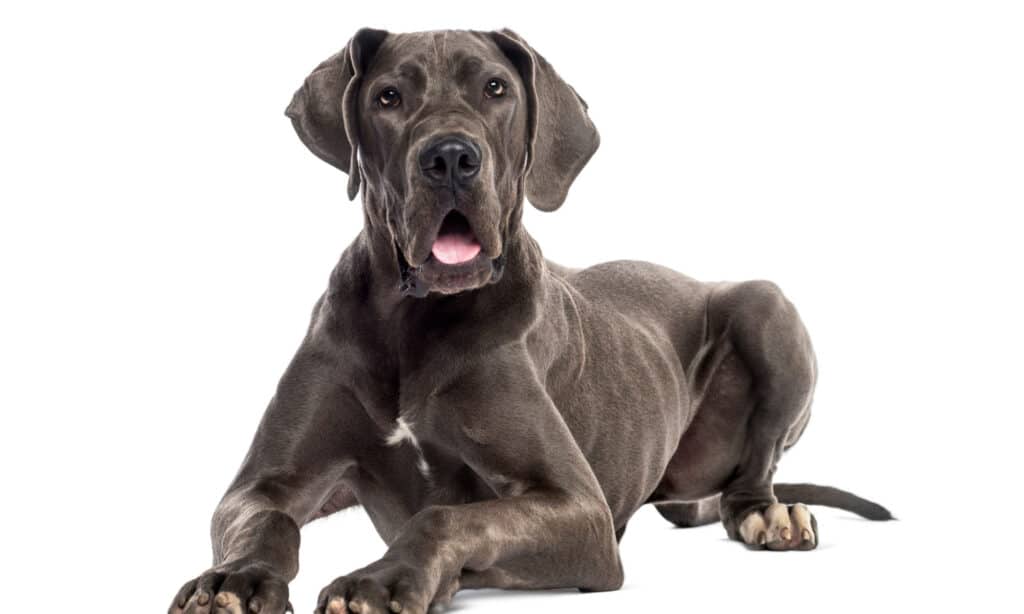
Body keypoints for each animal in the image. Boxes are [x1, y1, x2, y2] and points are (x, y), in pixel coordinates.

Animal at [165, 28, 888, 614]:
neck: (413, 319)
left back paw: (771, 514)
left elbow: (448, 518)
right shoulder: (266, 483)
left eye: (496, 88)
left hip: (767, 306)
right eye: (388, 97)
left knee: (753, 475)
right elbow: (266, 519)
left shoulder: (580, 509)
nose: (450, 157)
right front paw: (233, 578)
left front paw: (383, 580)